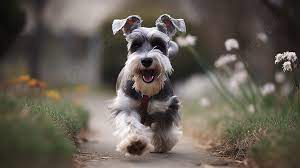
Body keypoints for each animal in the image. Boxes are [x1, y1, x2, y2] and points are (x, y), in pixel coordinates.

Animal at [110, 13, 185, 156]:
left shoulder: (167, 107)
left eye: (159, 44)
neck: (146, 92)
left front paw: (162, 144)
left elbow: (164, 128)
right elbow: (130, 123)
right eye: (135, 45)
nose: (146, 60)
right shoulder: (126, 106)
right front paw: (135, 143)